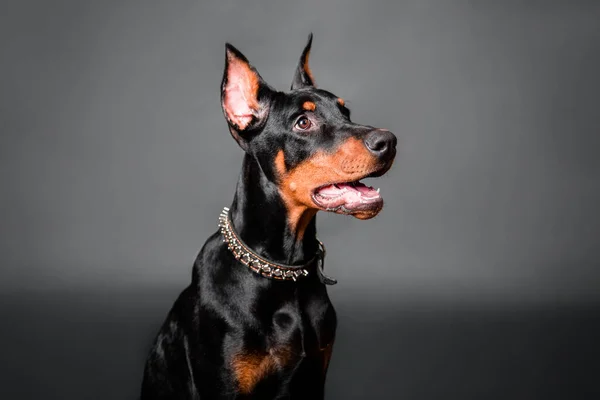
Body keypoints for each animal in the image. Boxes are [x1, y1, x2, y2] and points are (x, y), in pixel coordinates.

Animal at [139, 35, 394, 400]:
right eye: (303, 122)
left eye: (346, 112)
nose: (390, 141)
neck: (283, 269)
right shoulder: (224, 385)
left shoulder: (314, 378)